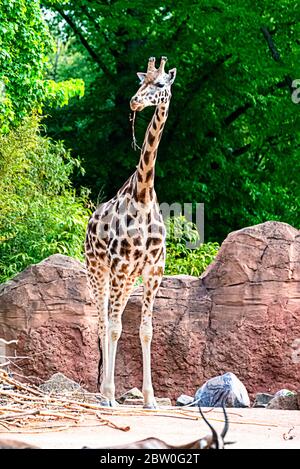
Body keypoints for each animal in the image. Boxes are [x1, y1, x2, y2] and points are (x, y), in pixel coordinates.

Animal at [84, 55, 176, 406]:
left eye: (160, 83)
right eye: (141, 81)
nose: (134, 101)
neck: (143, 194)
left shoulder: (152, 271)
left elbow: (145, 330)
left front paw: (150, 398)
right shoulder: (120, 266)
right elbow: (113, 328)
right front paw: (109, 394)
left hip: (124, 279)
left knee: (113, 320)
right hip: (97, 270)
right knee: (102, 322)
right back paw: (103, 393)